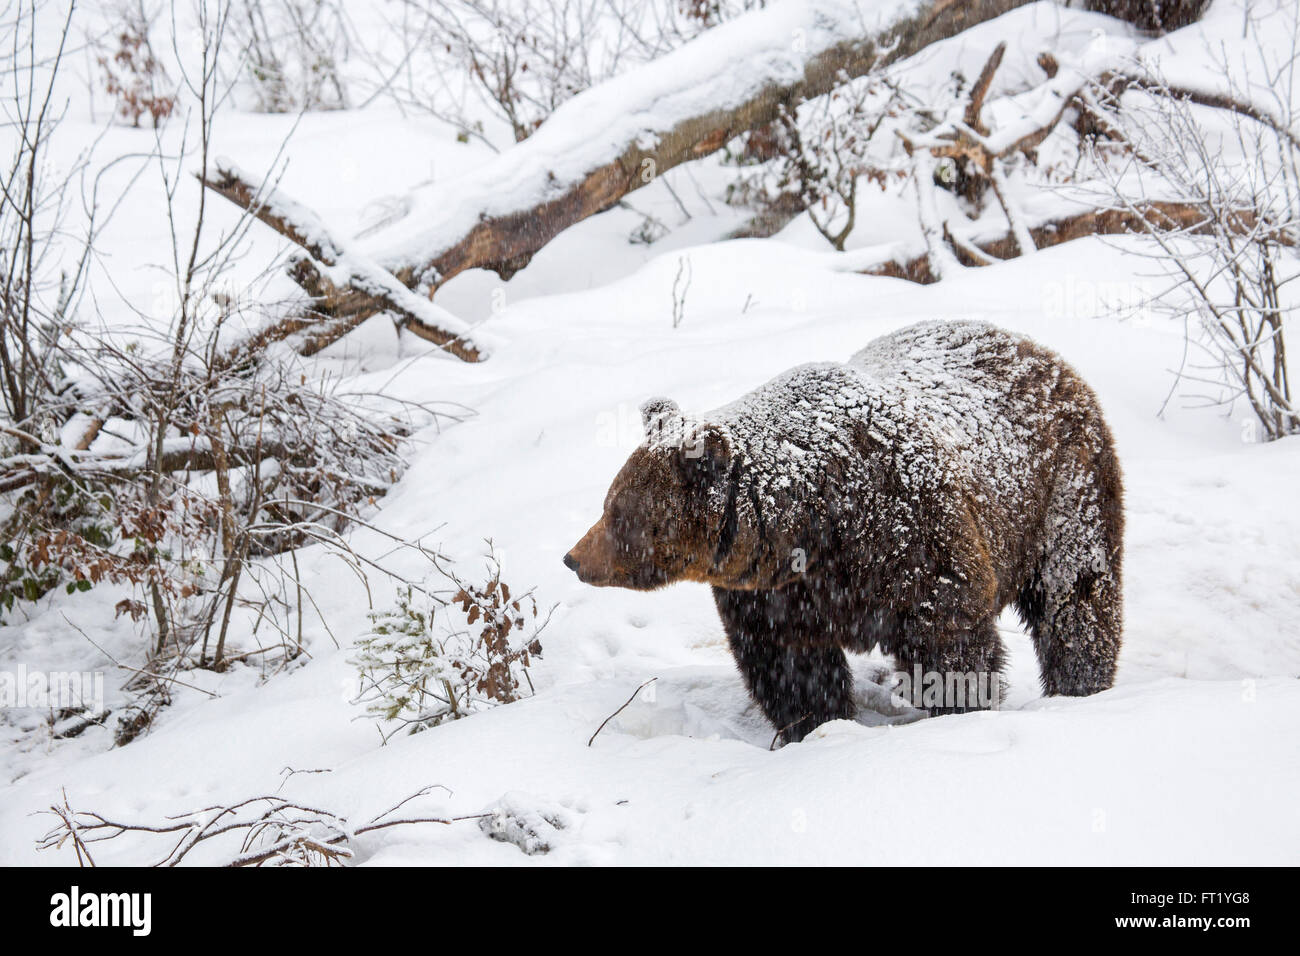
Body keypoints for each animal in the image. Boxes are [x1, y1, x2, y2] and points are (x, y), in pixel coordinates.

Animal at [564, 317, 1123, 743]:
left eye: (619, 512)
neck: (815, 526)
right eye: (609, 503)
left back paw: (1081, 683)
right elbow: (792, 667)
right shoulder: (775, 592)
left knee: (1075, 594)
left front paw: (958, 708)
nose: (573, 557)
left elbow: (949, 637)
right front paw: (815, 726)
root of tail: (1035, 348)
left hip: (1063, 489)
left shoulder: (911, 532)